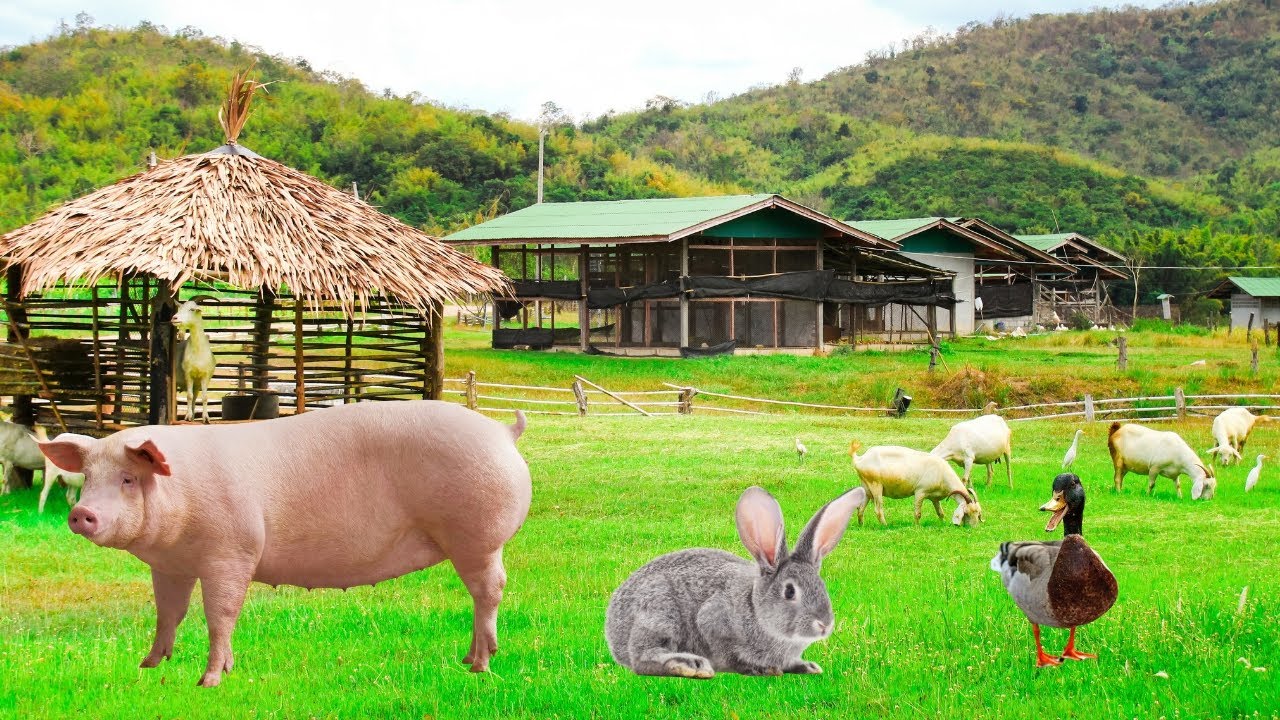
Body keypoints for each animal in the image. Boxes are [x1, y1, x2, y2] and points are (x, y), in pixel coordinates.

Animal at [850, 441, 982, 526]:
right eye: (967, 513)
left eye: (978, 513)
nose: (973, 528)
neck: (941, 473)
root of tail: (859, 459)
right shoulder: (920, 492)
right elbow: (917, 513)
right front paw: (917, 527)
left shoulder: (935, 498)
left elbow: (940, 513)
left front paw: (942, 523)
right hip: (876, 485)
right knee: (878, 510)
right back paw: (885, 526)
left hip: (866, 488)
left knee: (860, 509)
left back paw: (861, 525)